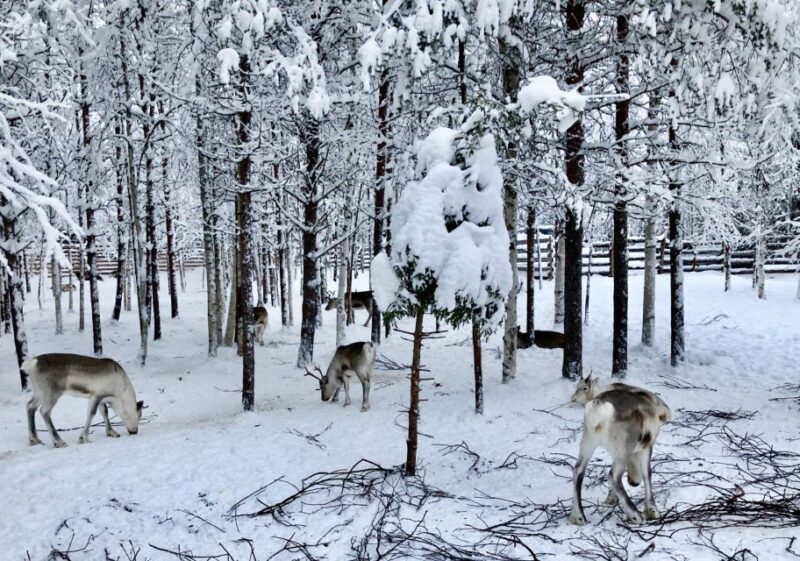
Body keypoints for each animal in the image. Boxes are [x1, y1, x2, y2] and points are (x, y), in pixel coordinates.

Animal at [568, 375, 672, 525]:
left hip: (588, 442)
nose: (633, 482)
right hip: (623, 449)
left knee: (578, 470)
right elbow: (647, 474)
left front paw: (611, 499)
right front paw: (652, 511)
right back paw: (635, 515)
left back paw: (578, 516)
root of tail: (599, 408)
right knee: (613, 476)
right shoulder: (646, 446)